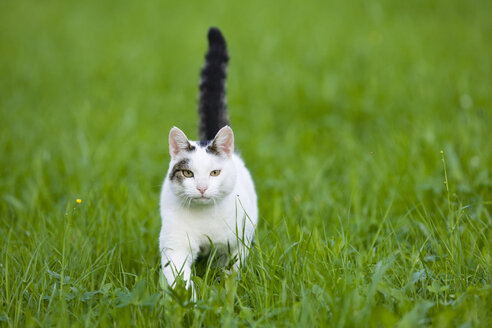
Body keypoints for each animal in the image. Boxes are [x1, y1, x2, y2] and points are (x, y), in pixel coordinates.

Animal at [159, 28, 260, 294]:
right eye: (188, 174)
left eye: (215, 173)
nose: (202, 188)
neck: (205, 219)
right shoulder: (175, 247)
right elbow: (179, 280)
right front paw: (187, 301)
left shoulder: (238, 244)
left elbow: (231, 274)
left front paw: (225, 293)